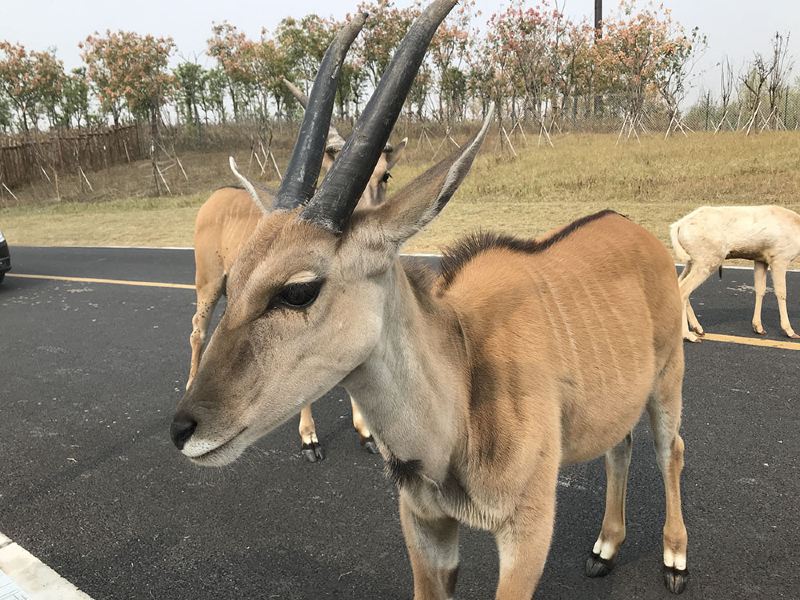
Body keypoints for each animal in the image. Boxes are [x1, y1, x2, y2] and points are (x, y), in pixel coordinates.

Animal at [188, 81, 406, 464]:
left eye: (386, 175)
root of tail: (214, 198)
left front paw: (365, 432)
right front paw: (309, 438)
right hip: (208, 282)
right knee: (197, 331)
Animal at [672, 204, 796, 340]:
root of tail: (678, 225)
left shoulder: (760, 260)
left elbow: (760, 290)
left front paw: (758, 327)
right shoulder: (780, 259)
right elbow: (781, 292)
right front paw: (790, 331)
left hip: (692, 261)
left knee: (679, 283)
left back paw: (698, 329)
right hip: (707, 261)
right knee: (684, 290)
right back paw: (689, 335)